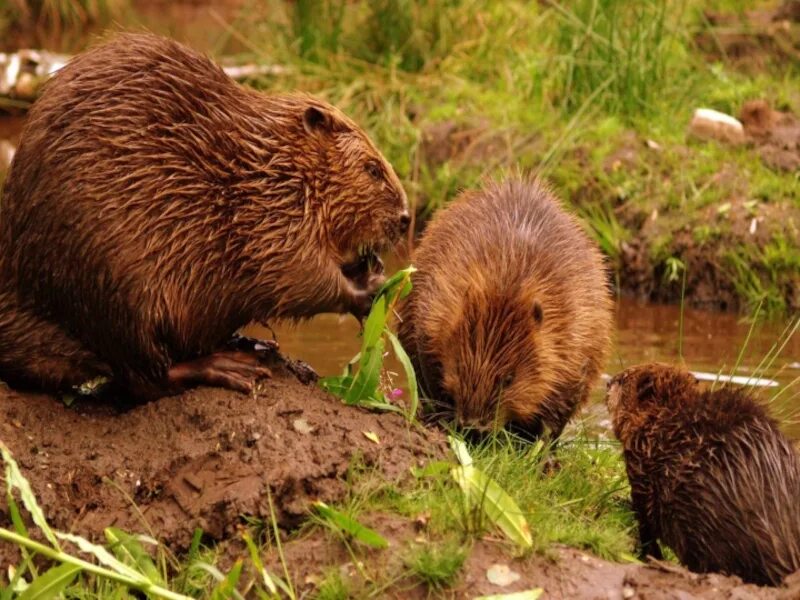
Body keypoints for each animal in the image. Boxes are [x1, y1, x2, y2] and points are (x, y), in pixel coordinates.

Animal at [0, 31, 410, 398]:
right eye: (373, 169)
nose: (406, 217)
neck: (273, 164)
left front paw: (370, 267)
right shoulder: (267, 216)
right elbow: (295, 274)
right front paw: (372, 287)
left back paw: (250, 344)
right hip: (114, 284)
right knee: (144, 377)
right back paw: (232, 365)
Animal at [398, 178, 612, 440]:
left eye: (509, 379)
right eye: (458, 366)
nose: (473, 427)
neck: (509, 281)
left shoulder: (575, 335)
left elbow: (563, 398)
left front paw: (537, 444)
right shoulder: (436, 307)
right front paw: (441, 417)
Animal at [608, 364, 800, 584]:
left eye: (622, 380)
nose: (608, 383)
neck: (662, 417)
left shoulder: (640, 471)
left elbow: (644, 522)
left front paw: (648, 555)